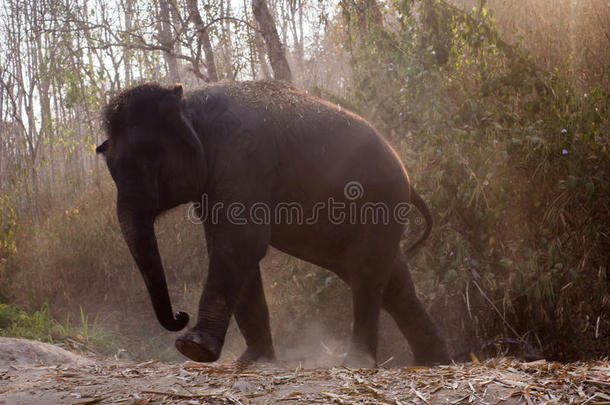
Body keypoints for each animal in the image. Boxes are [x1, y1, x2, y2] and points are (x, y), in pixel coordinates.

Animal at [95, 81, 446, 366]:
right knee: (391, 281)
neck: (188, 101)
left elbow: (240, 243)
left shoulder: (242, 159)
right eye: (111, 169)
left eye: (149, 162)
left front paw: (192, 348)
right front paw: (253, 361)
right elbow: (233, 248)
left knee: (366, 272)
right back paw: (434, 360)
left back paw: (358, 363)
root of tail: (408, 176)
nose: (181, 315)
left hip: (380, 202)